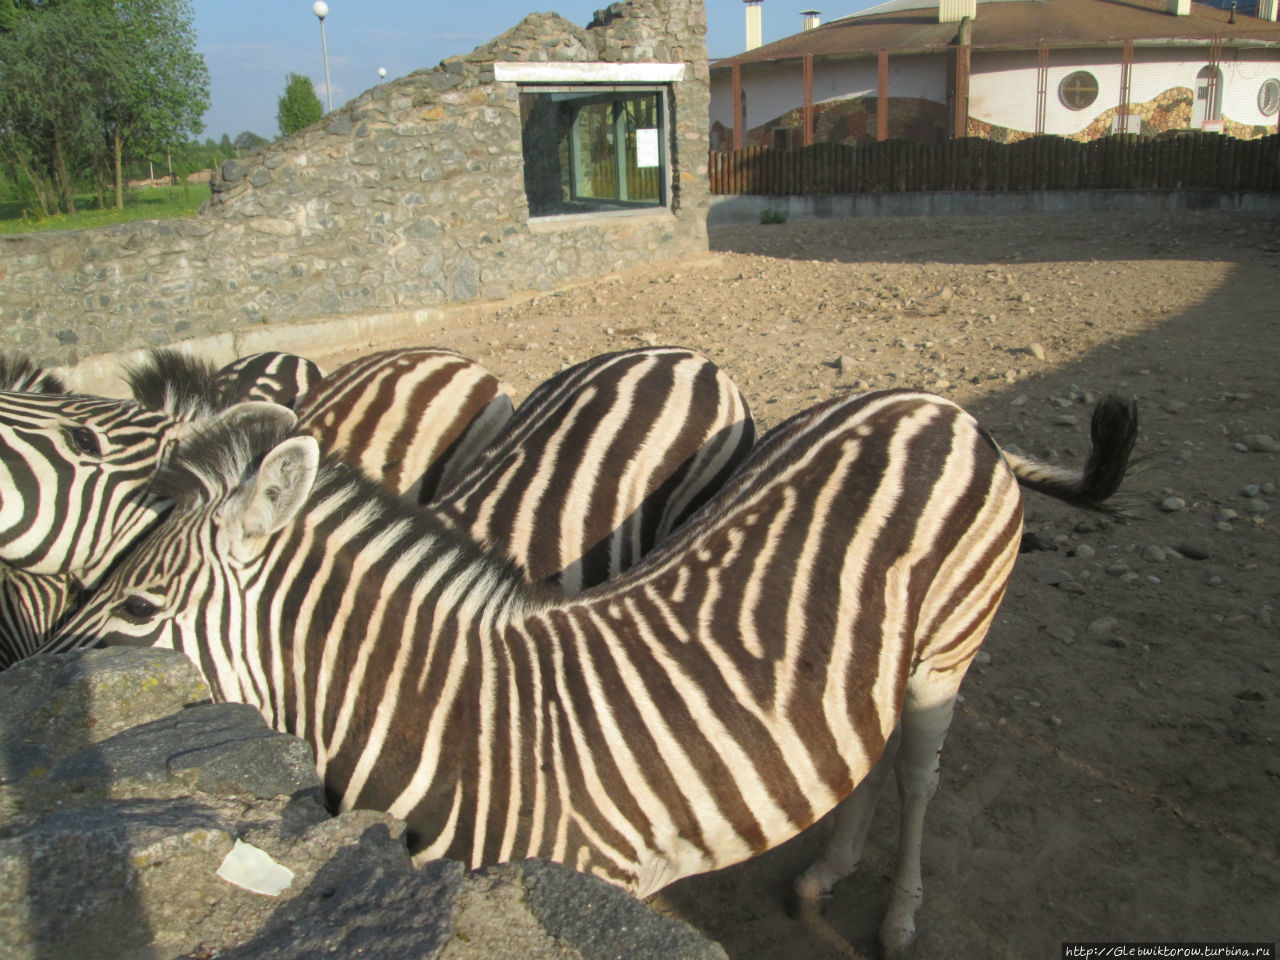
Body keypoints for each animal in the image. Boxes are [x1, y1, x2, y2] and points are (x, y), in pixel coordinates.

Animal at [42, 386, 1141, 957]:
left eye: (137, 613)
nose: (46, 698)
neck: (460, 728)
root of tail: (937, 402)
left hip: (944, 651)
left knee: (916, 775)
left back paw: (901, 912)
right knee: (861, 758)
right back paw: (824, 872)